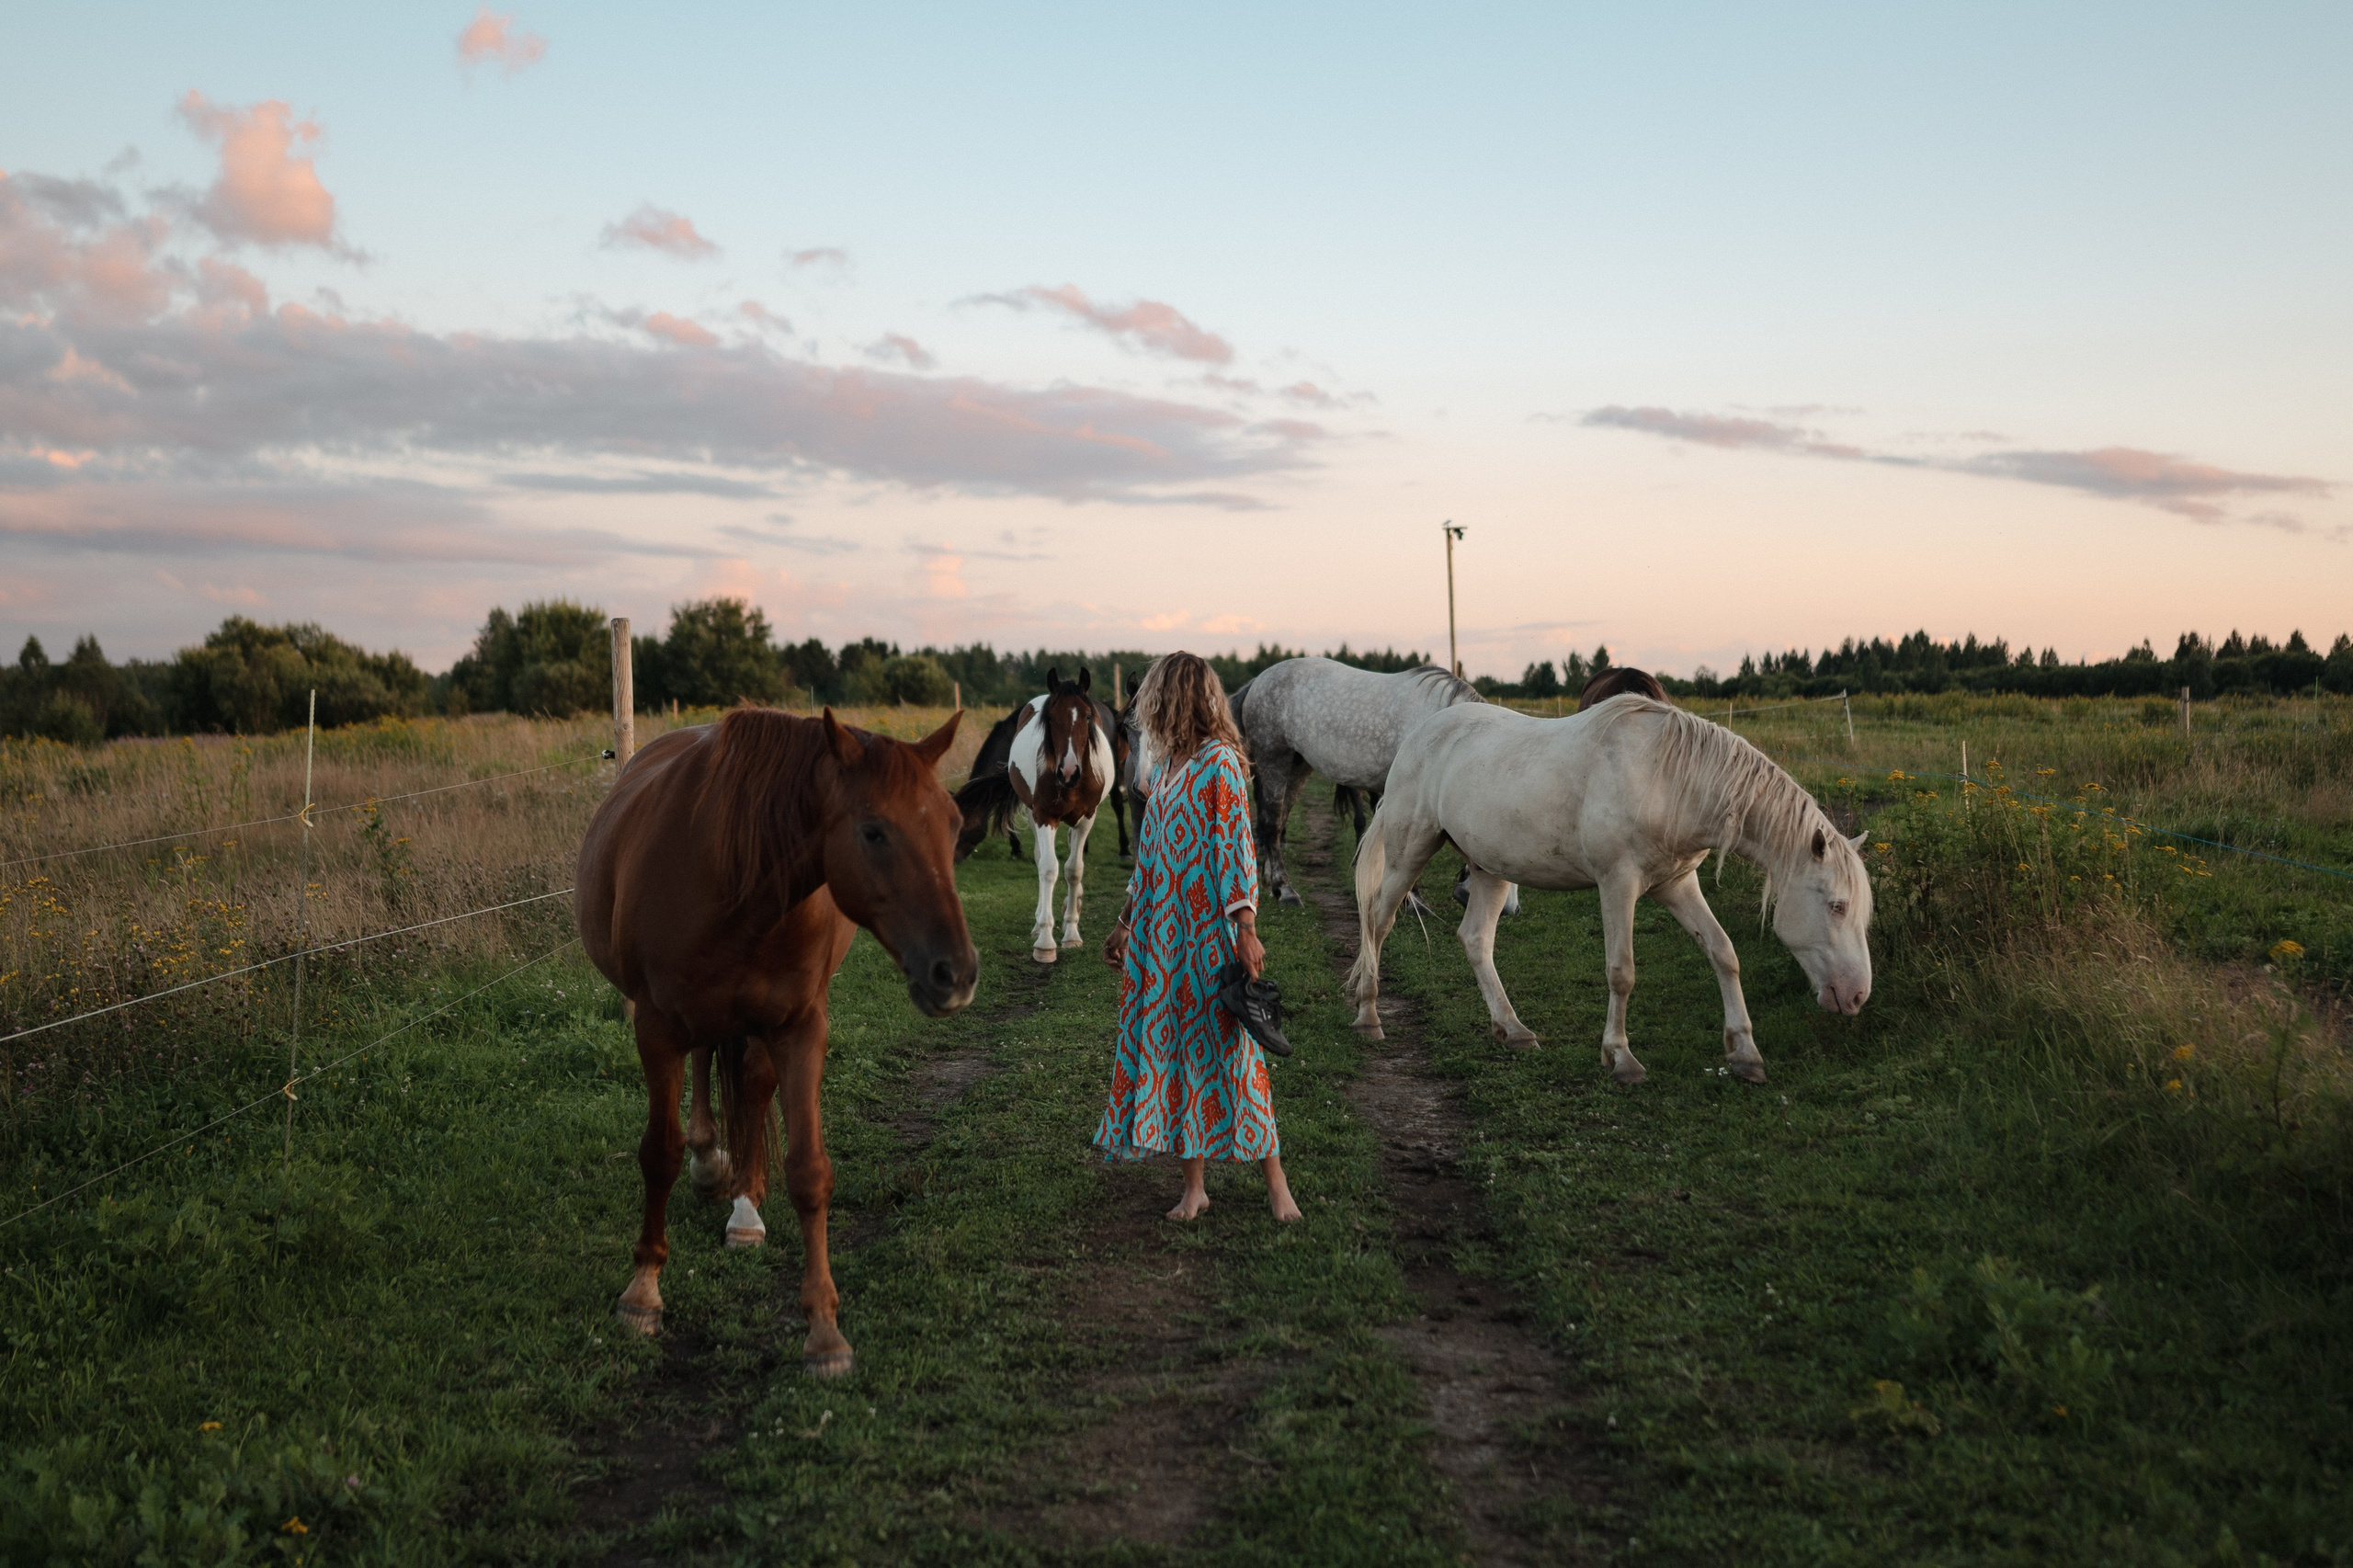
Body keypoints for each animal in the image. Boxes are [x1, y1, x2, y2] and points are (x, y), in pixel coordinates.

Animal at [576, 705, 976, 1375]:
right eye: (874, 832)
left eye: (953, 826)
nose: (956, 973)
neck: (732, 876)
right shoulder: (655, 1026)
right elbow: (659, 1153)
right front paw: (642, 1293)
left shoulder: (800, 1028)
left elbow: (809, 1170)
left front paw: (824, 1330)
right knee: (706, 1072)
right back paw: (711, 1165)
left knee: (748, 1082)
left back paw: (742, 1204)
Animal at [950, 667, 1114, 963]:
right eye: (1050, 717)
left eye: (1087, 716)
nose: (1069, 771)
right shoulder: (1043, 816)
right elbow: (1048, 868)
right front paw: (1046, 942)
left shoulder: (1086, 819)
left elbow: (1074, 870)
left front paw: (1072, 933)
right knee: (1040, 859)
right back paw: (1040, 924)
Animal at [1228, 658, 1492, 906]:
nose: (1466, 896)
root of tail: (1258, 681)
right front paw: (1412, 899)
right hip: (1274, 761)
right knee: (1272, 823)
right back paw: (1285, 890)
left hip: (1298, 766)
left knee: (1275, 820)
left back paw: (1271, 882)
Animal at [1349, 695, 1872, 1085]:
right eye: (1836, 905)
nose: (1857, 997)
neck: (1667, 780)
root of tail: (1418, 737)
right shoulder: (1618, 884)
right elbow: (1622, 971)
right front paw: (1620, 1058)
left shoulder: (1677, 885)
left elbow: (1723, 953)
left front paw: (1744, 1053)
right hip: (1409, 851)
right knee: (1378, 919)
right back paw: (1368, 1017)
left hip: (1489, 868)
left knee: (1476, 939)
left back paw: (1513, 1029)